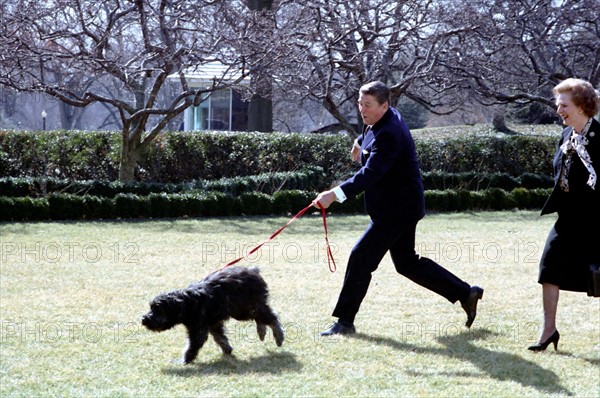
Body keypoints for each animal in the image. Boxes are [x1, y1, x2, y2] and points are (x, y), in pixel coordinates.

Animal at [142, 264, 284, 364]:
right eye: (151, 308)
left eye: (158, 310)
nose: (144, 319)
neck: (187, 302)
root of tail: (254, 270)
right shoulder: (213, 325)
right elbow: (221, 338)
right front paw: (228, 351)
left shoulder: (198, 330)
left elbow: (192, 346)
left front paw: (184, 360)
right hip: (244, 310)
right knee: (262, 318)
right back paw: (262, 332)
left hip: (246, 308)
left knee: (272, 317)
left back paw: (278, 337)